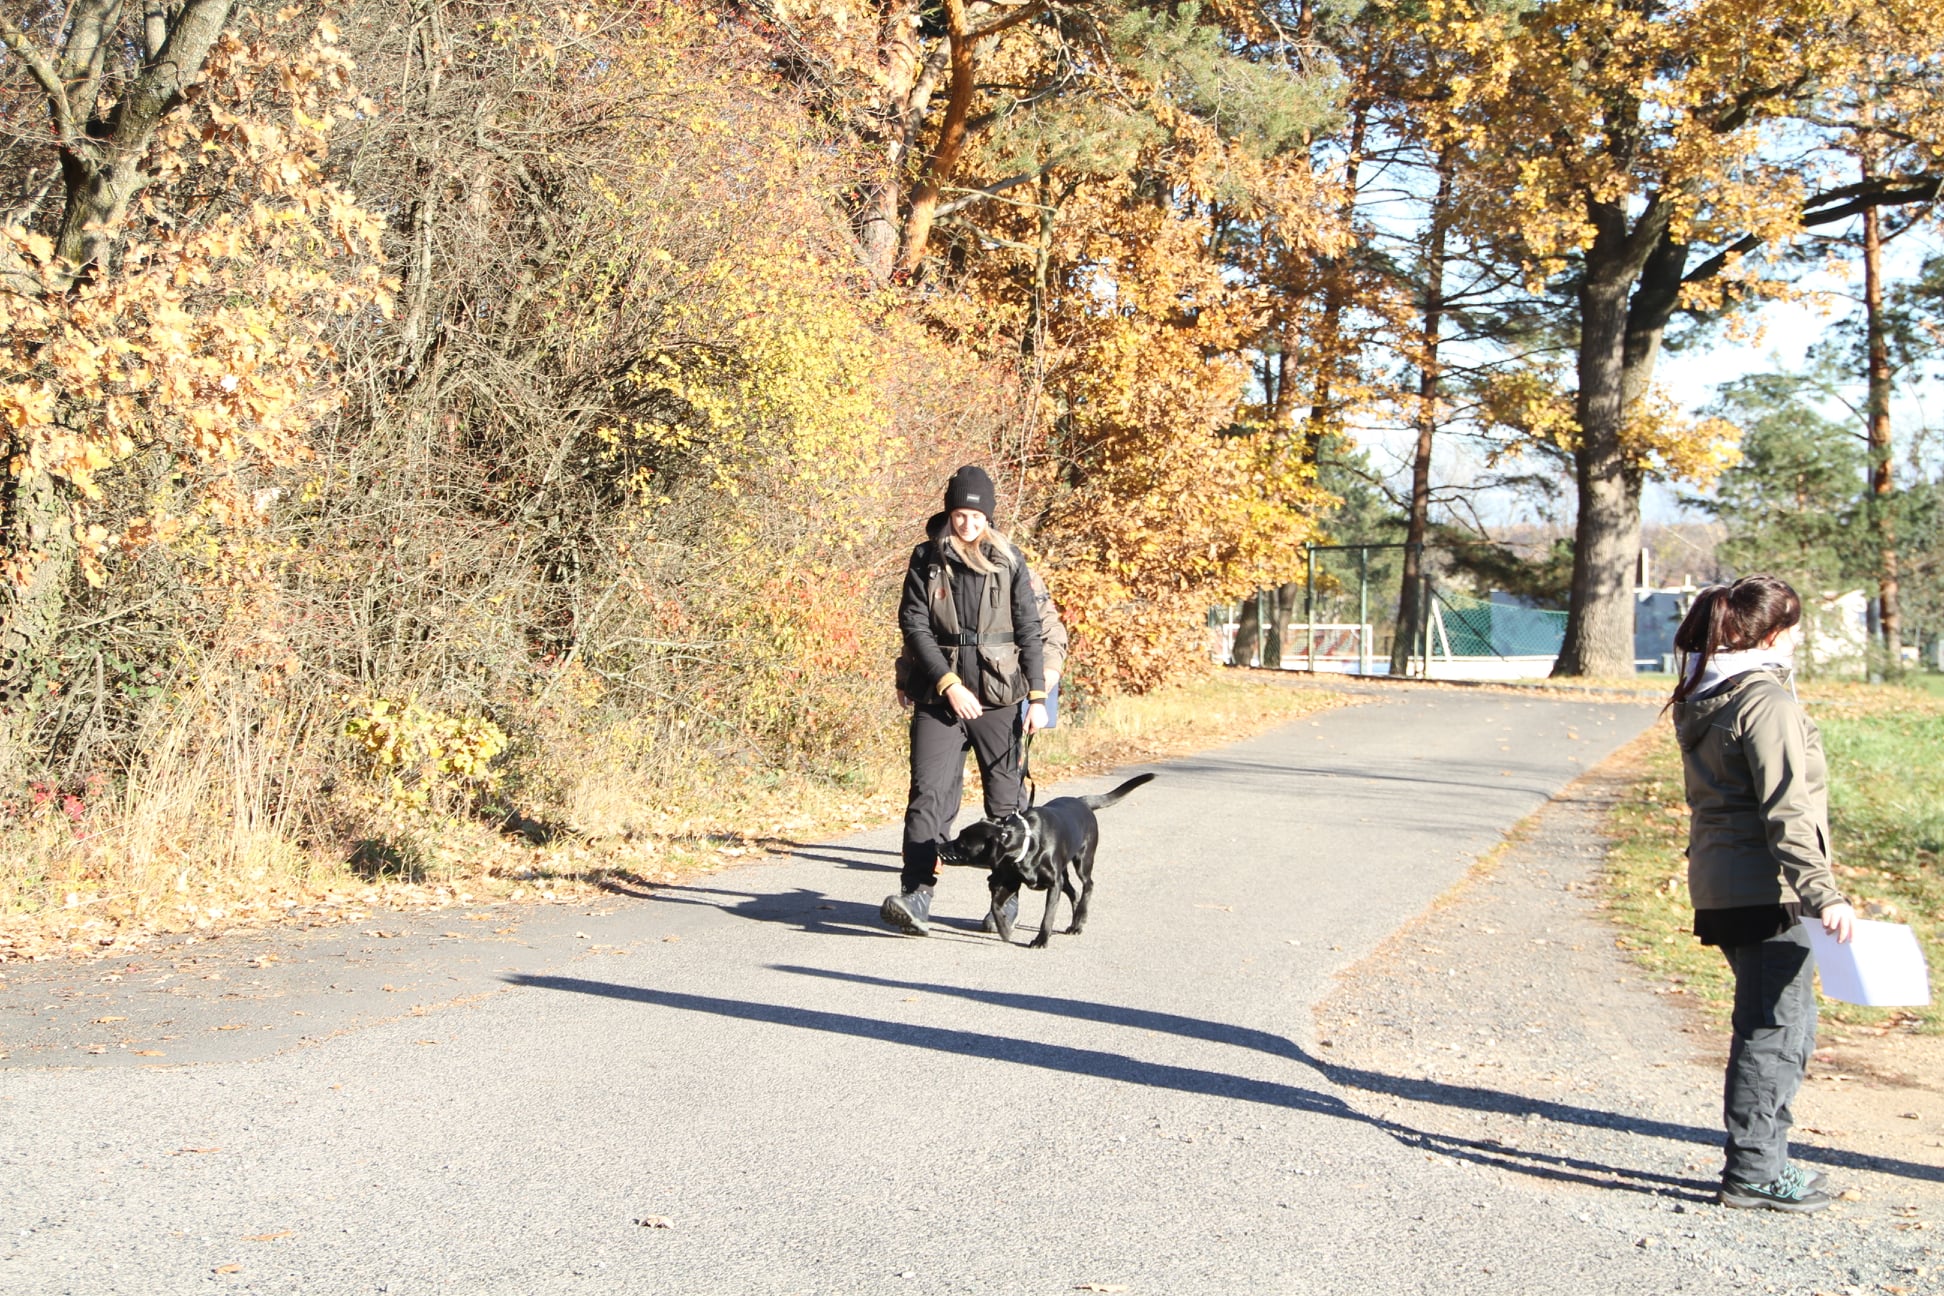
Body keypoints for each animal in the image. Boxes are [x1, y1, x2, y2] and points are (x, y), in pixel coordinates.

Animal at [937, 773, 1155, 948]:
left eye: (962, 843)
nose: (938, 846)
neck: (1023, 842)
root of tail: (1083, 802)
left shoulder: (1053, 884)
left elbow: (1048, 916)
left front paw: (1041, 940)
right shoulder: (1012, 882)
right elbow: (995, 906)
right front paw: (1004, 929)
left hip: (1083, 860)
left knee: (1088, 885)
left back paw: (1080, 920)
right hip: (1064, 874)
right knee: (1074, 892)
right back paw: (1075, 922)